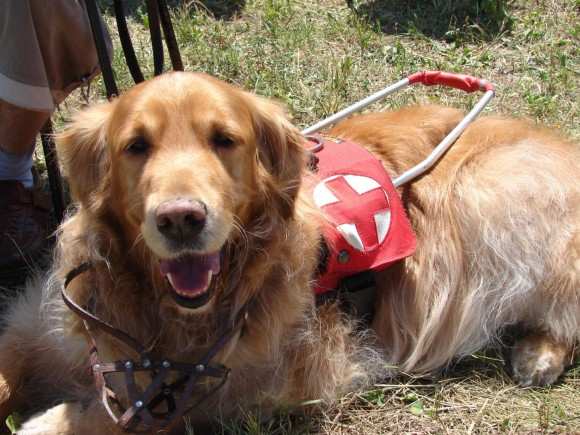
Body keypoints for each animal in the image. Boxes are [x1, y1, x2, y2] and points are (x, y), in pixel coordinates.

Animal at [0, 71, 576, 432]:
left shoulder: (225, 387)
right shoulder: (40, 326)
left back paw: (540, 353)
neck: (155, 309)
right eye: (135, 145)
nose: (181, 218)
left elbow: (96, 419)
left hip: (488, 192)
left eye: (224, 139)